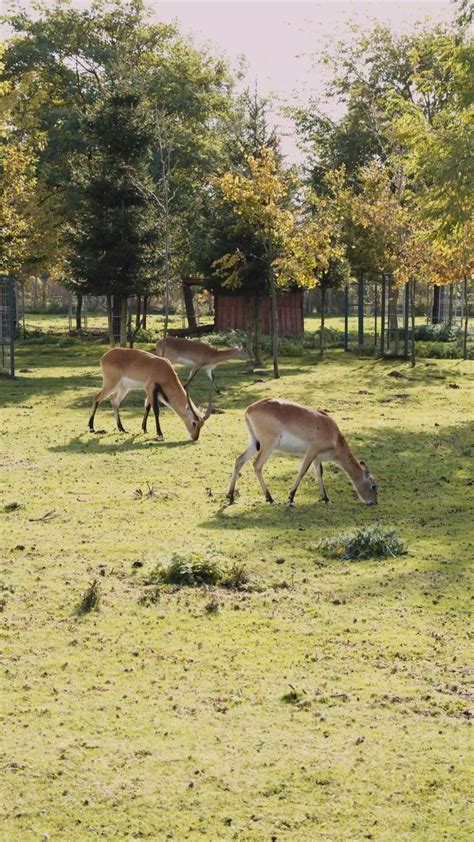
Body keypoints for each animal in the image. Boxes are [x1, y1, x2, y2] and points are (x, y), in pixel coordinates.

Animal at [226, 398, 378, 506]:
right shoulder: (311, 451)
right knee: (257, 465)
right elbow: (302, 471)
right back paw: (271, 499)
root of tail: (249, 408)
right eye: (373, 486)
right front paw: (291, 498)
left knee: (239, 460)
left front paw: (326, 498)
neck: (334, 435)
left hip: (254, 443)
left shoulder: (317, 458)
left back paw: (230, 496)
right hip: (268, 445)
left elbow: (319, 473)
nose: (374, 502)